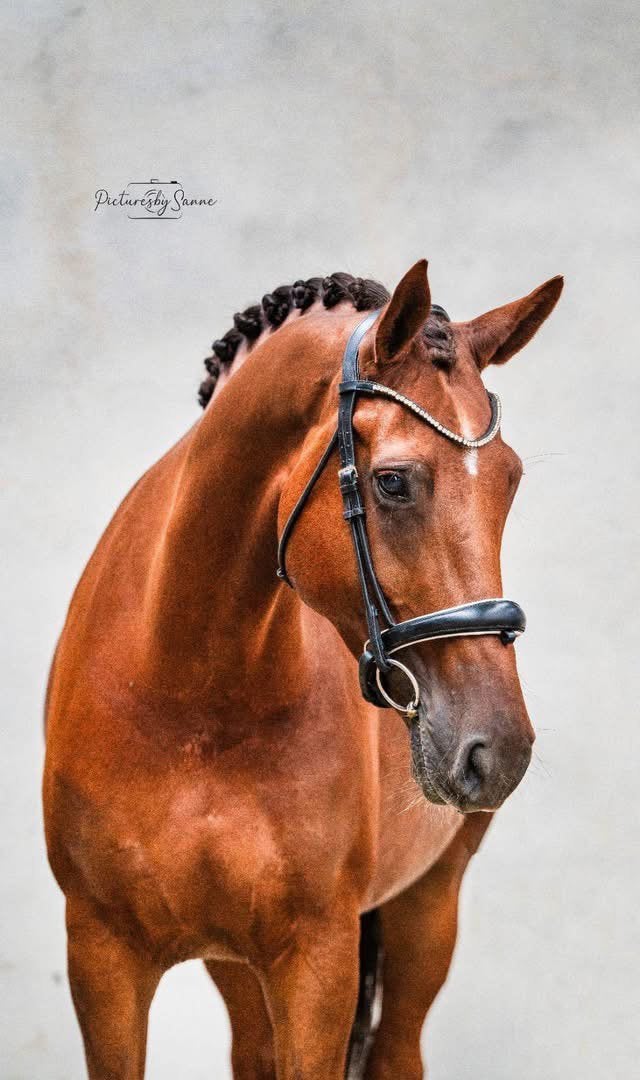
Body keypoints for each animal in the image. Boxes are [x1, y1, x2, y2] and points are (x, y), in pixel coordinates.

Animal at [43, 259, 562, 1079]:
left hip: (429, 901)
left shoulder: (317, 960)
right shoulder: (101, 955)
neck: (194, 692)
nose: (499, 748)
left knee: (399, 1050)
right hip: (233, 958)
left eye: (508, 480)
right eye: (392, 481)